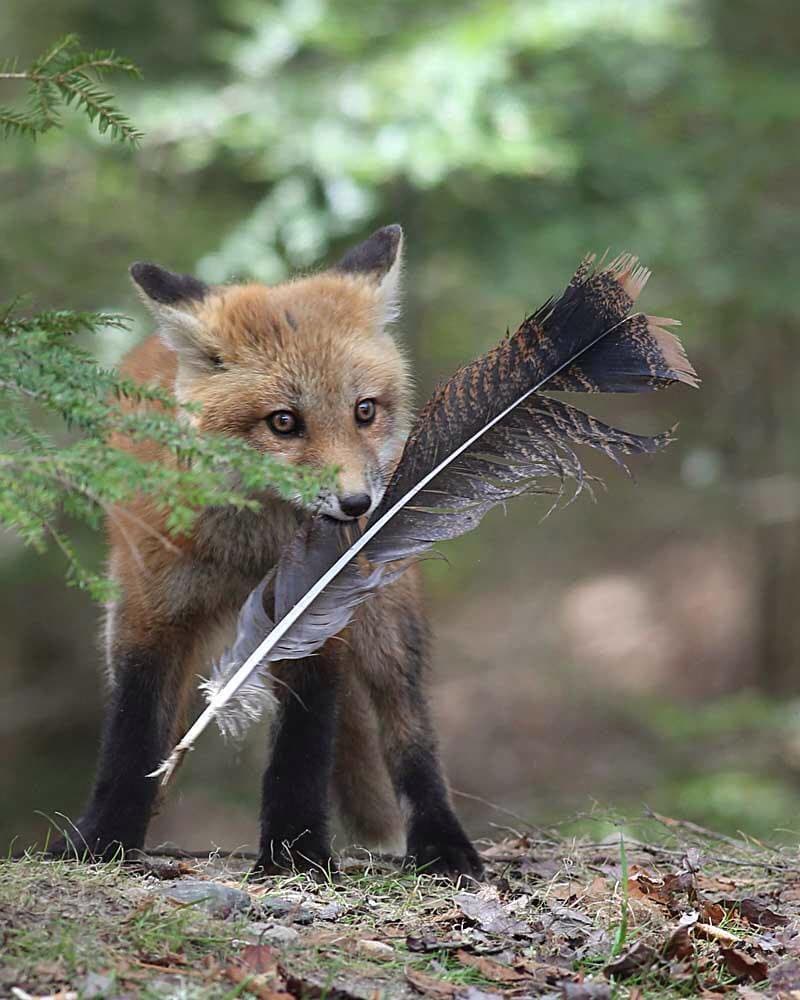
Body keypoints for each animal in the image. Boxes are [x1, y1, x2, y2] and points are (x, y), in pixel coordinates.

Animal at [49, 225, 484, 880]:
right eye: (283, 422)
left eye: (364, 410)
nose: (359, 505)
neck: (249, 552)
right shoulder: (148, 613)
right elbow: (132, 735)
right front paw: (102, 842)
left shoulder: (315, 628)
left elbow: (302, 749)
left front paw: (295, 854)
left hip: (386, 626)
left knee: (409, 733)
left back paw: (442, 841)